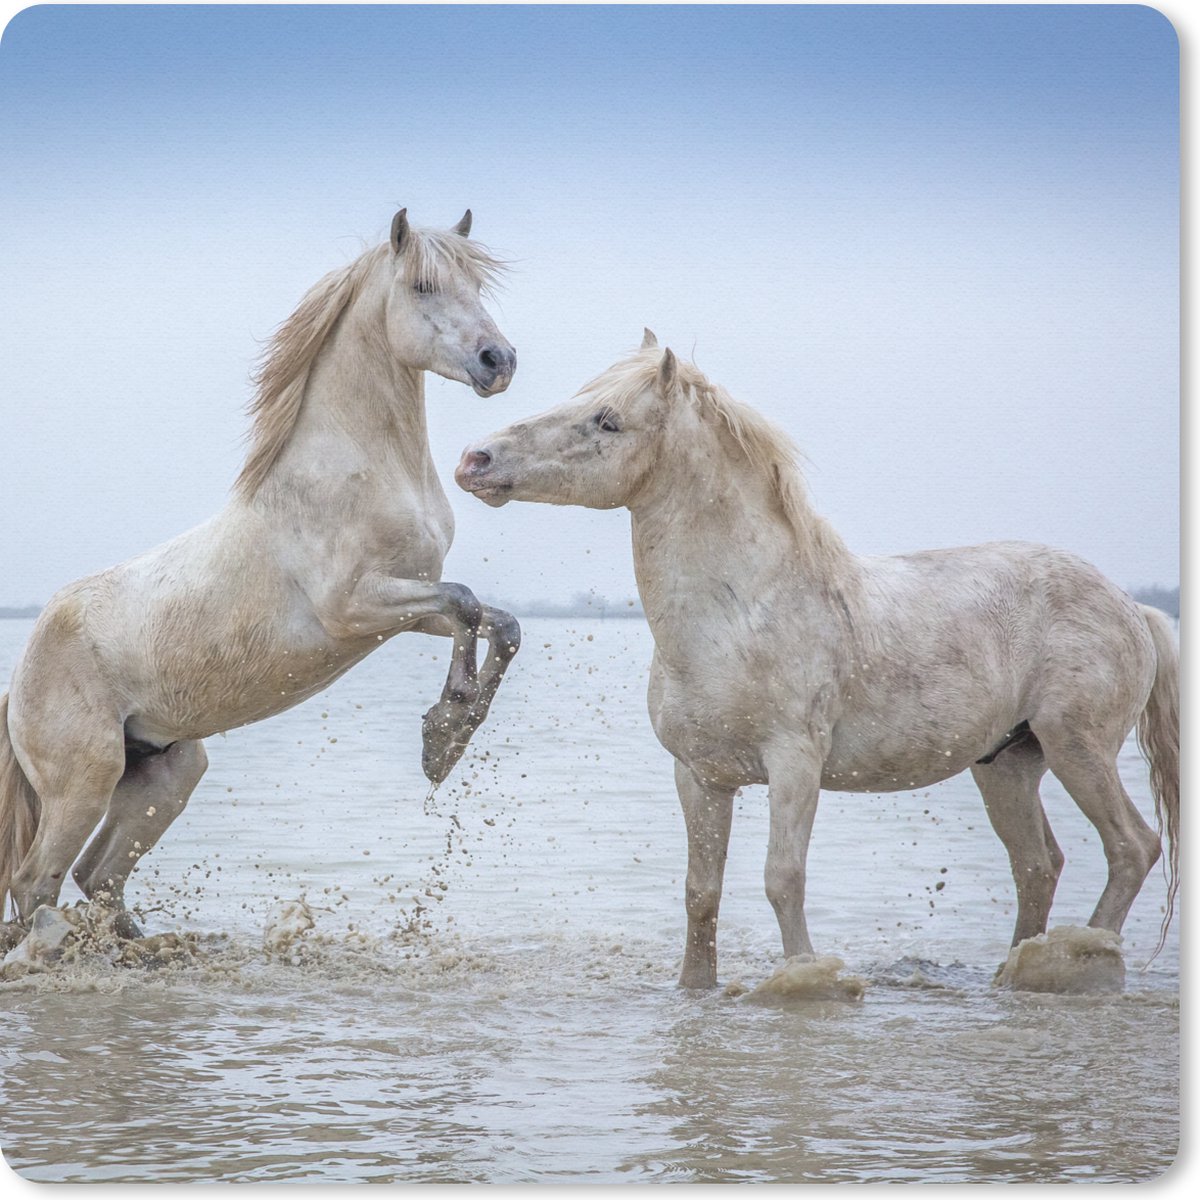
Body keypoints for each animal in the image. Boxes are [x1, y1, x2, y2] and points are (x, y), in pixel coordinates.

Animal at [0, 209, 522, 940]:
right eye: (422, 285)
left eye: (476, 283)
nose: (498, 362)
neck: (356, 468)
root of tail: (20, 676)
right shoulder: (354, 608)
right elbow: (469, 603)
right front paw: (442, 737)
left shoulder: (402, 612)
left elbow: (496, 621)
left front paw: (447, 738)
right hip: (85, 779)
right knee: (36, 882)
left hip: (168, 771)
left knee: (96, 876)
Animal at [455, 331, 1179, 989]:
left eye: (606, 420)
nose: (474, 459)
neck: (740, 614)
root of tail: (1131, 607)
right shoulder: (700, 776)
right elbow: (700, 891)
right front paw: (695, 987)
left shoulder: (794, 762)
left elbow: (783, 878)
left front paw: (806, 979)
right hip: (1007, 764)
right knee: (1037, 865)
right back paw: (1016, 973)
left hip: (1076, 746)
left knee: (1131, 847)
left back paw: (1086, 956)